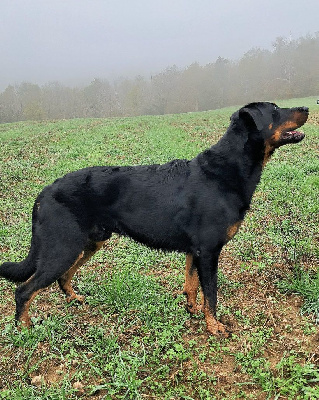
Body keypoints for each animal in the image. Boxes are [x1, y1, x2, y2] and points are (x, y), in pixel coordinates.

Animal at [0, 102, 310, 334]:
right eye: (275, 110)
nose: (307, 107)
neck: (226, 171)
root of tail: (44, 193)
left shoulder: (195, 251)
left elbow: (191, 286)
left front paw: (192, 311)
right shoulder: (209, 251)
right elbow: (211, 294)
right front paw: (213, 326)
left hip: (88, 243)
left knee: (63, 278)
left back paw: (75, 299)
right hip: (63, 248)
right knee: (24, 290)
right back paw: (25, 327)